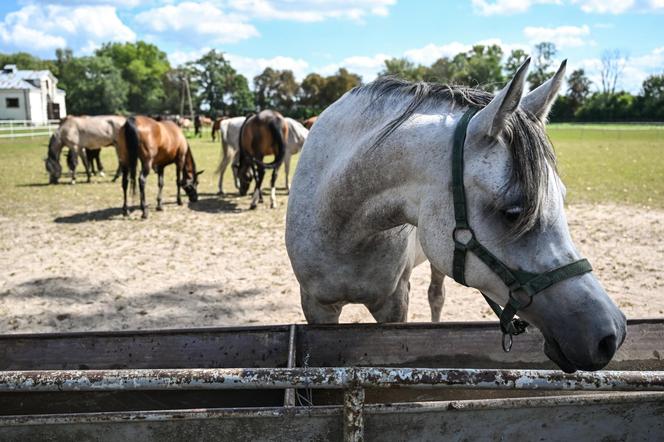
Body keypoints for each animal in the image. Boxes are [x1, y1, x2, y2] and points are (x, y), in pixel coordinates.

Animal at [282, 57, 624, 372]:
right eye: (513, 212)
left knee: (437, 296)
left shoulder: (394, 302)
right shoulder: (316, 306)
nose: (612, 334)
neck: (343, 226)